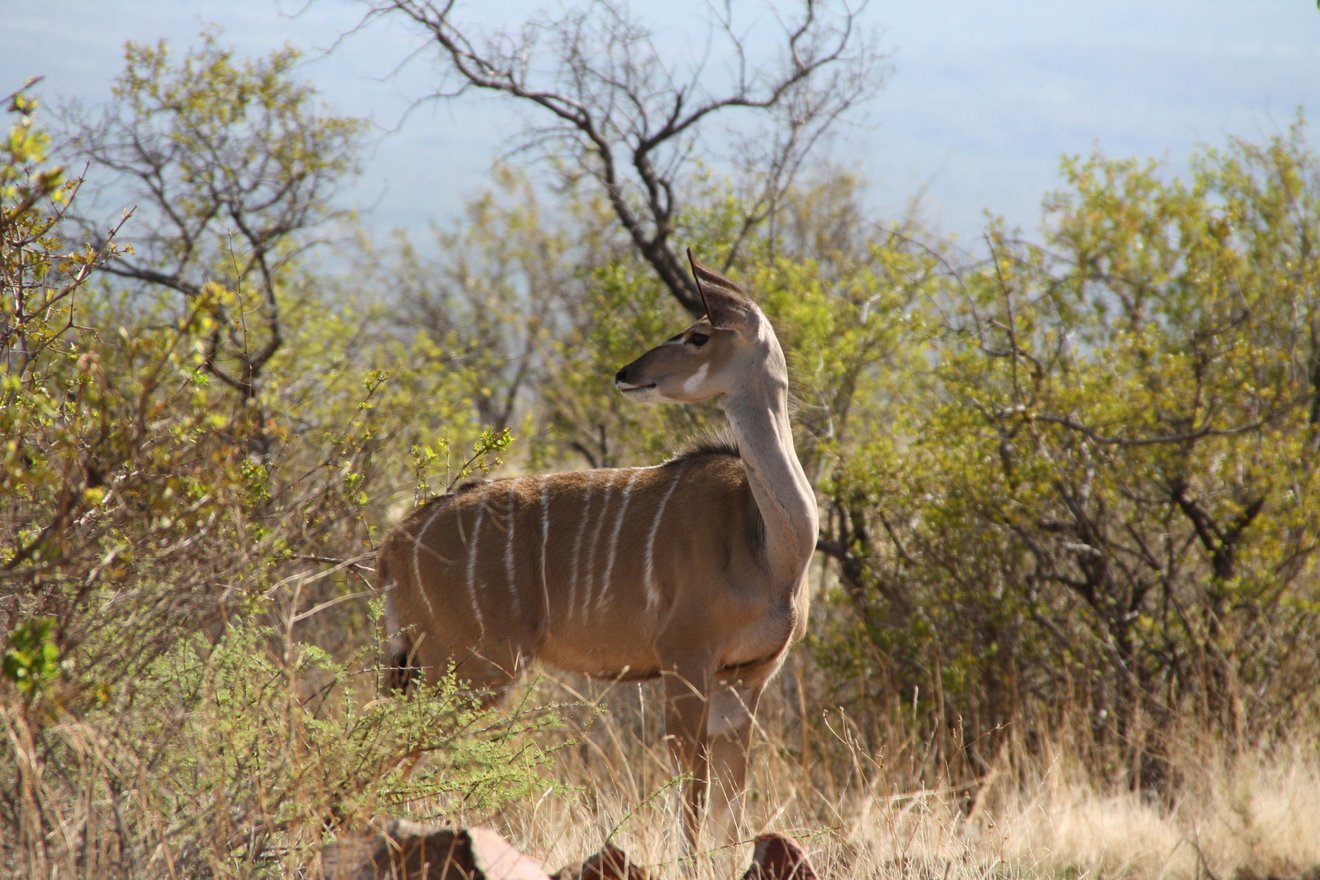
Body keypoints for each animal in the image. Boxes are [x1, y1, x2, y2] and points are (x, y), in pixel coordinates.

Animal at [377, 253, 818, 844]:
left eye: (698, 335)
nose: (626, 373)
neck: (771, 547)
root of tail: (397, 542)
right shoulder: (685, 662)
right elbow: (692, 795)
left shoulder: (746, 678)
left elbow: (729, 808)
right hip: (469, 668)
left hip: (425, 668)